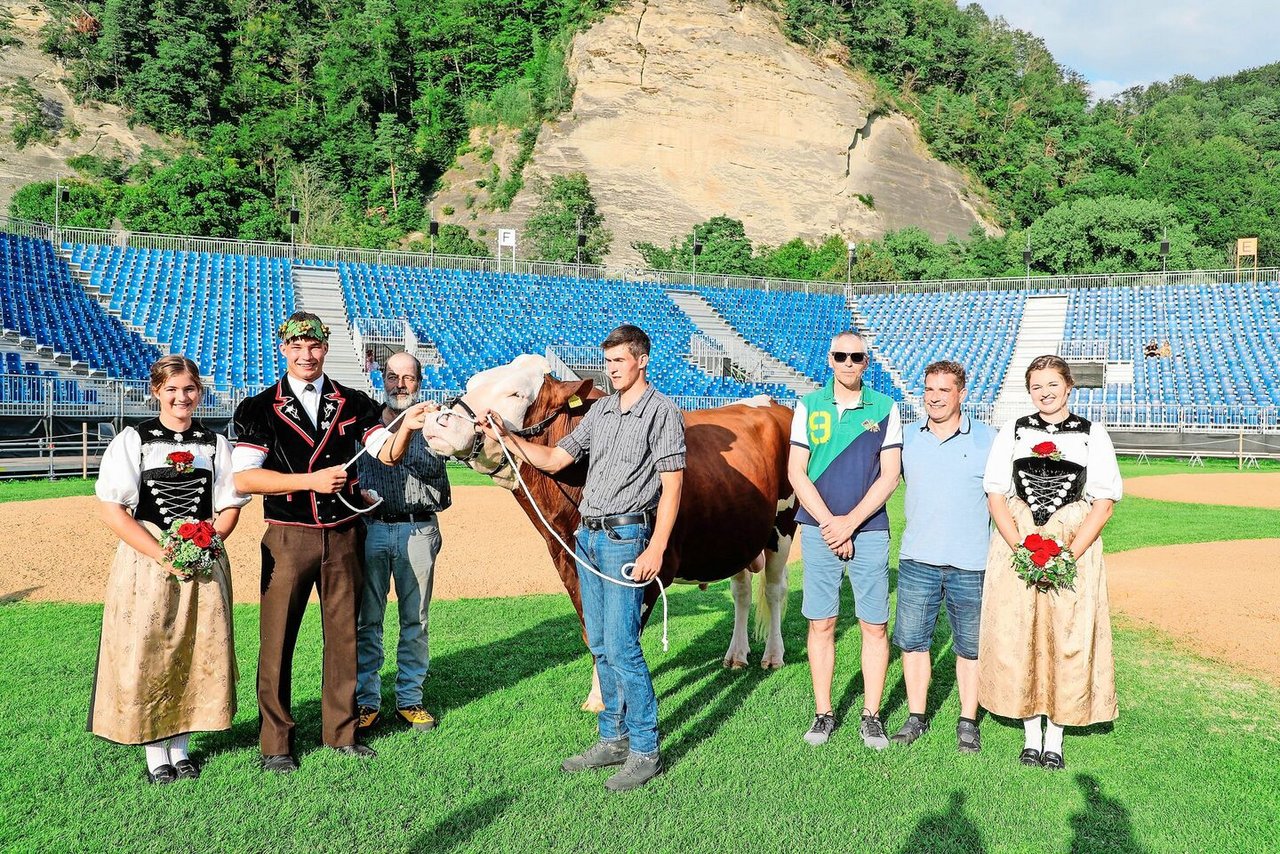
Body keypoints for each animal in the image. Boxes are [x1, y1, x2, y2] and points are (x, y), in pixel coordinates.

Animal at [424, 358, 793, 711]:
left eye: (516, 394)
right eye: (472, 382)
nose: (437, 420)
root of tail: (768, 402)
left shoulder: (648, 571)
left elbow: (620, 637)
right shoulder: (569, 563)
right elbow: (594, 632)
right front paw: (598, 697)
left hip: (784, 525)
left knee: (774, 590)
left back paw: (772, 655)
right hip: (737, 535)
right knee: (742, 591)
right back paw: (737, 655)